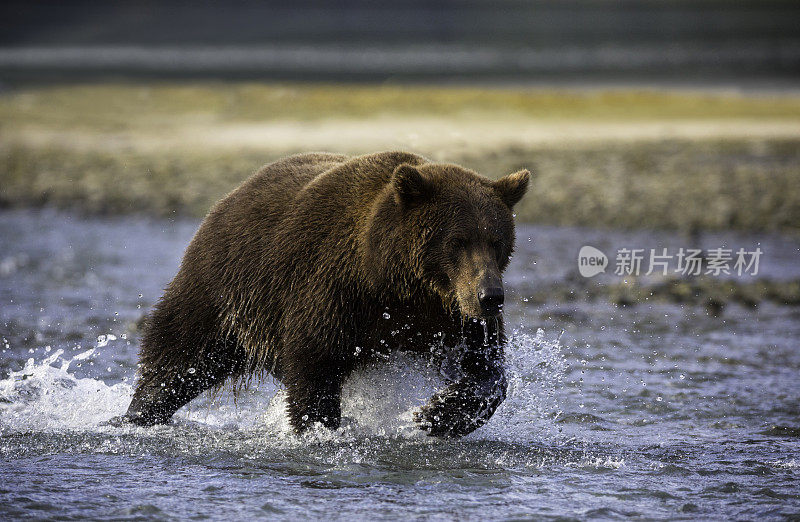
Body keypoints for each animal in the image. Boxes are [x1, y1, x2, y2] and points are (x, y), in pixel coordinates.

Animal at [117, 150, 532, 434]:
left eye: (497, 241)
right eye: (457, 241)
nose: (491, 296)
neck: (394, 282)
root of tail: (233, 193)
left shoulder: (447, 316)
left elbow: (485, 365)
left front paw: (432, 415)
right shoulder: (335, 288)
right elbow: (314, 360)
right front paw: (322, 428)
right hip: (223, 288)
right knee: (179, 352)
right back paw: (139, 413)